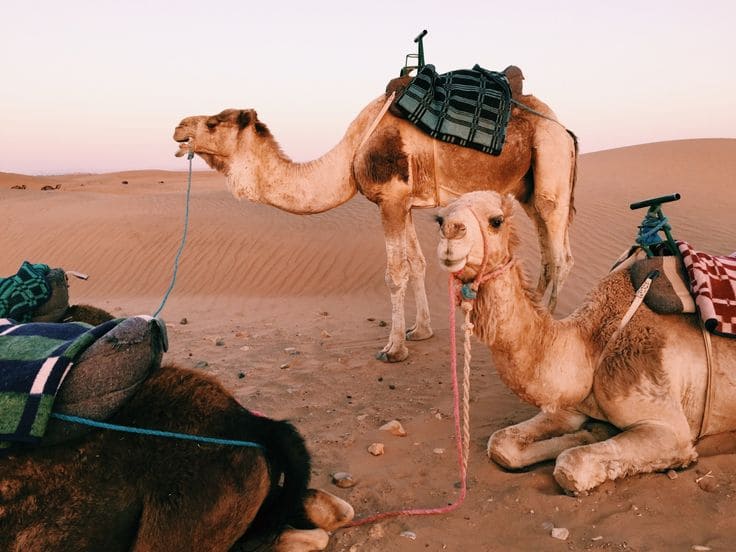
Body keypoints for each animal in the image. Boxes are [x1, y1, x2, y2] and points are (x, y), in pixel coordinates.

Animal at [174, 69, 580, 362]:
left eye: (212, 123)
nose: (179, 127)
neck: (352, 153)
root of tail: (565, 129)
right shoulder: (407, 203)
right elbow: (417, 264)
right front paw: (420, 331)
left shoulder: (391, 198)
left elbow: (395, 273)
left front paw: (394, 349)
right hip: (529, 189)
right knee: (548, 255)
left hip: (551, 166)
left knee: (561, 256)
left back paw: (544, 328)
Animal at [434, 192, 736, 494]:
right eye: (439, 218)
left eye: (496, 221)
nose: (451, 232)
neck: (590, 344)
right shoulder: (570, 405)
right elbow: (501, 443)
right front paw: (590, 432)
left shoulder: (671, 429)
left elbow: (571, 466)